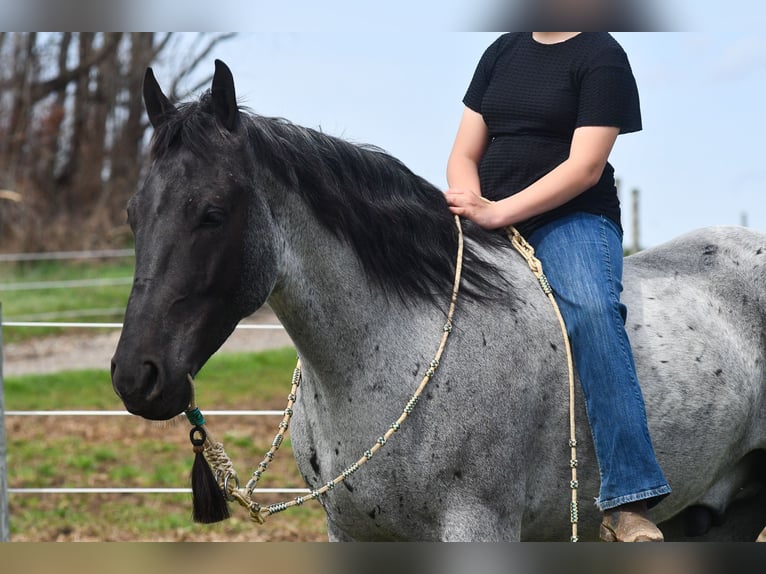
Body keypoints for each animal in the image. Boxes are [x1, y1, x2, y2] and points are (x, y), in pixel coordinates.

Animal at [111, 60, 766, 541]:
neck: (397, 350)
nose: (135, 376)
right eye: (133, 214)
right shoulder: (351, 534)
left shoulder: (478, 529)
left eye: (212, 213)